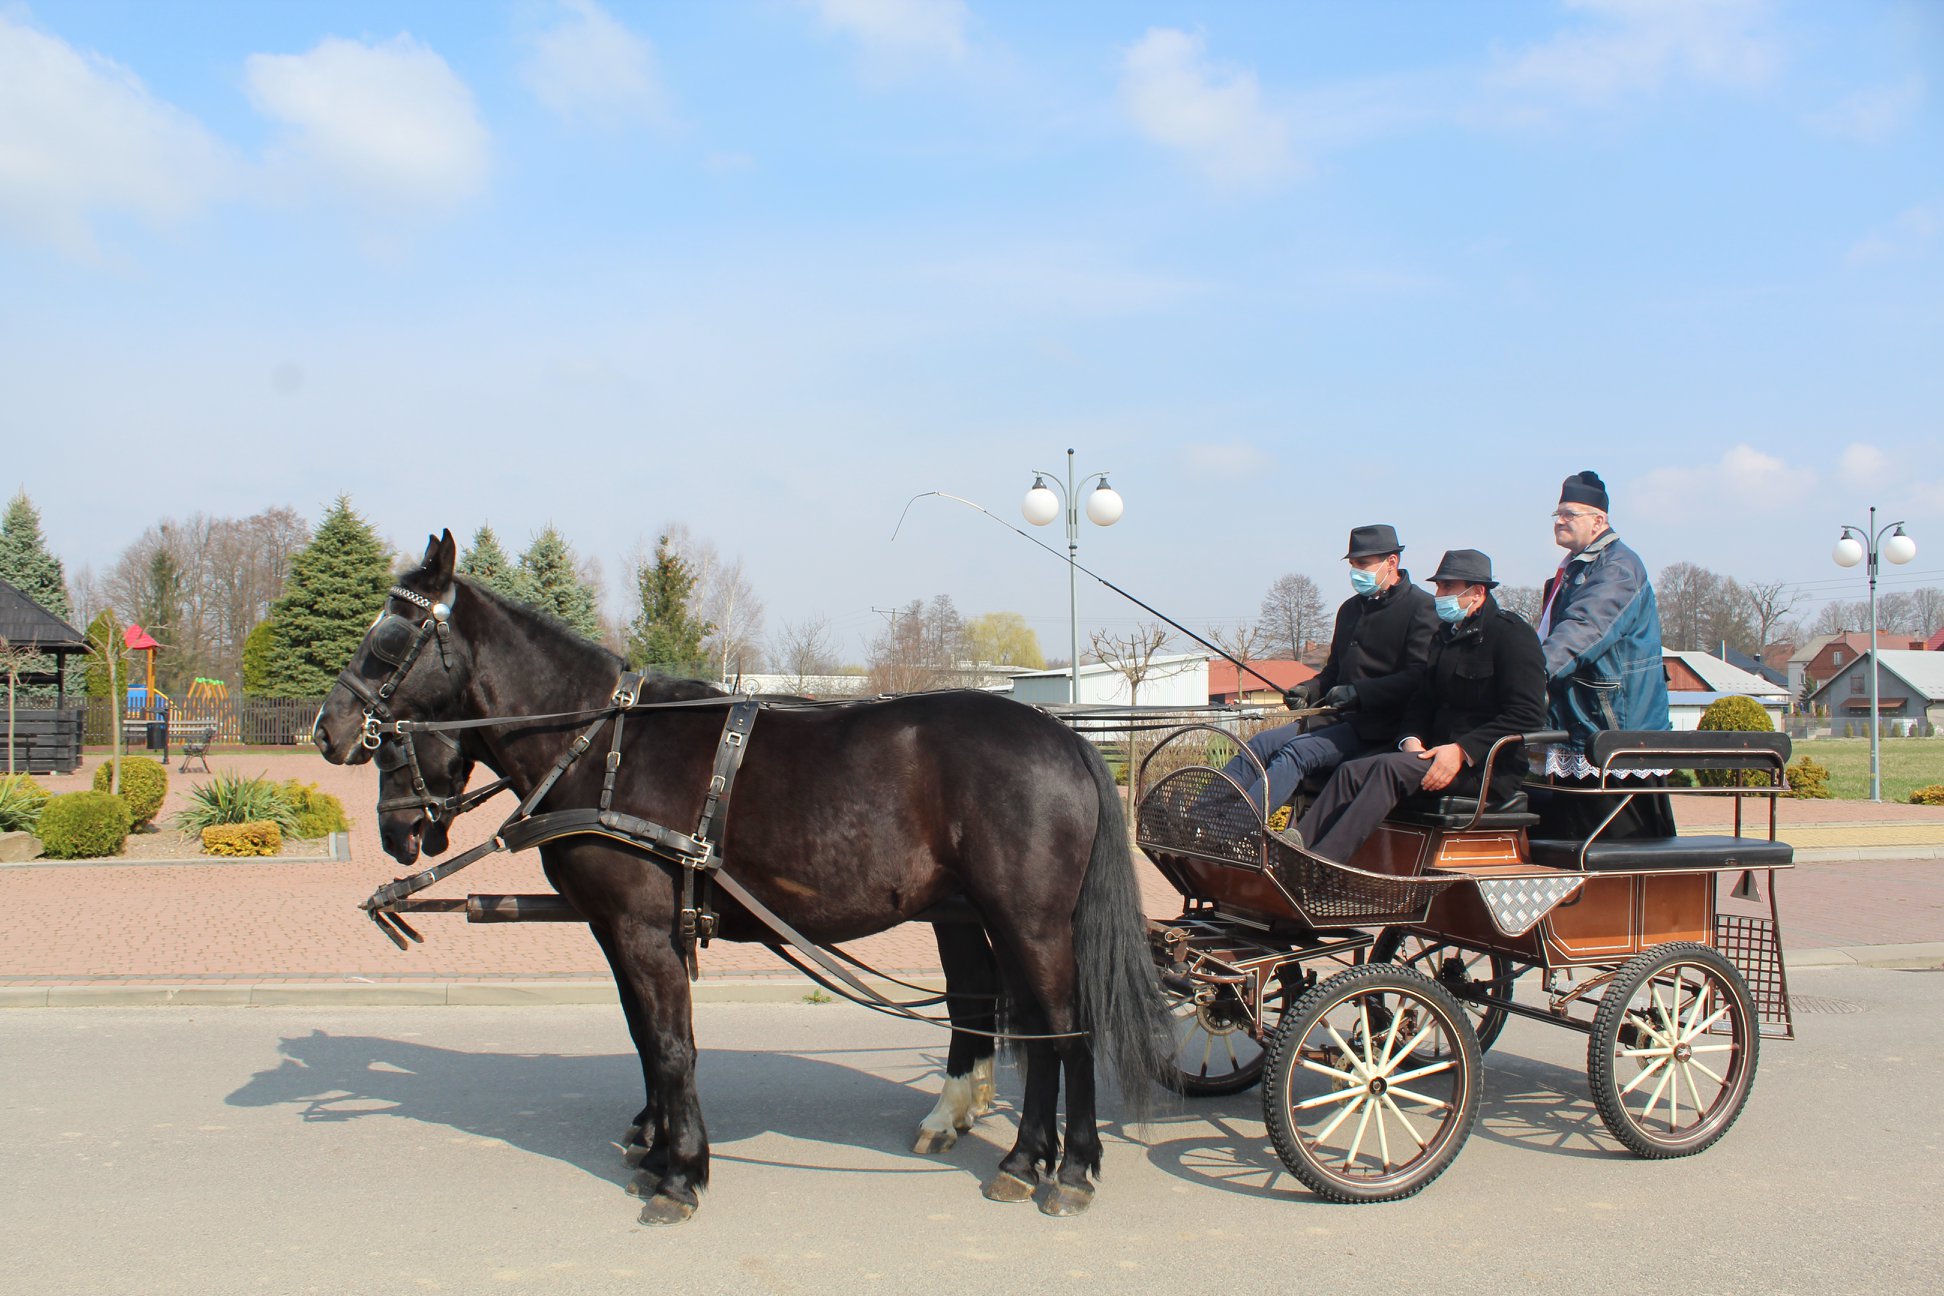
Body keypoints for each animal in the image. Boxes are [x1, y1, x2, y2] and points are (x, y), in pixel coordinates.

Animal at [318, 532, 1166, 1220]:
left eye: (388, 638)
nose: (331, 732)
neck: (604, 745)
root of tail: (1061, 735)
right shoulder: (616, 930)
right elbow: (645, 1036)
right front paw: (658, 1146)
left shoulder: (641, 929)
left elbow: (671, 1044)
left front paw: (681, 1172)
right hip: (990, 914)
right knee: (1023, 1023)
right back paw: (1021, 1156)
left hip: (1031, 920)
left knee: (1066, 1028)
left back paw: (1071, 1168)